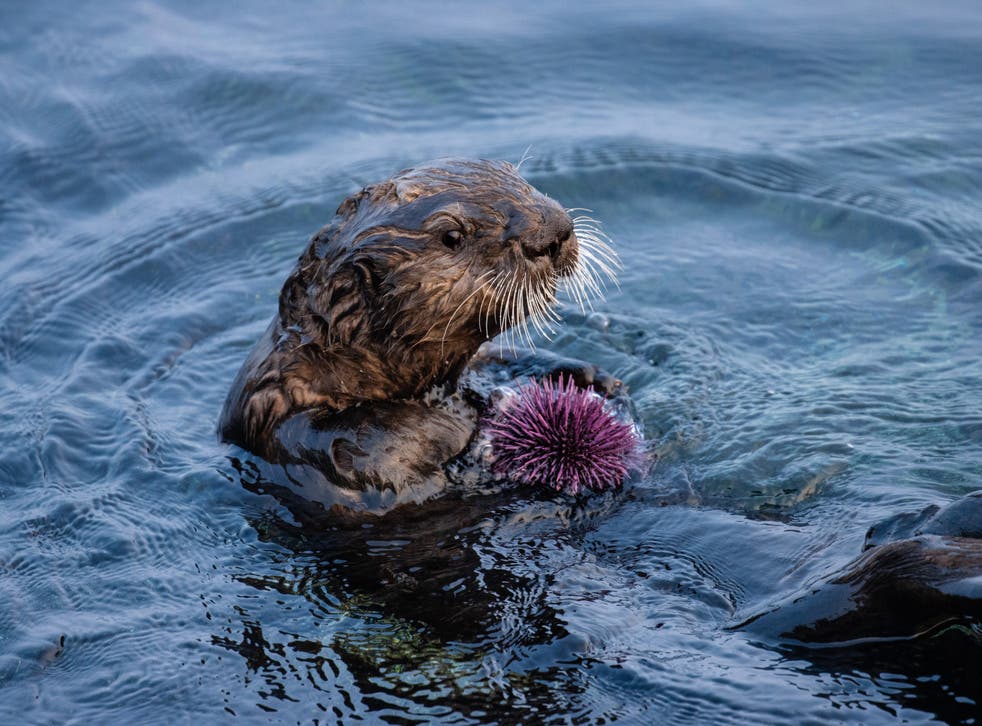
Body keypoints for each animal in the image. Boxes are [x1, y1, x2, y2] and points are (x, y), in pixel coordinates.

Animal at [219, 159, 617, 505]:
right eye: (452, 235)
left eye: (517, 178)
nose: (555, 230)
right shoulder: (283, 426)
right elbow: (362, 444)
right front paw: (447, 426)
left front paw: (586, 376)